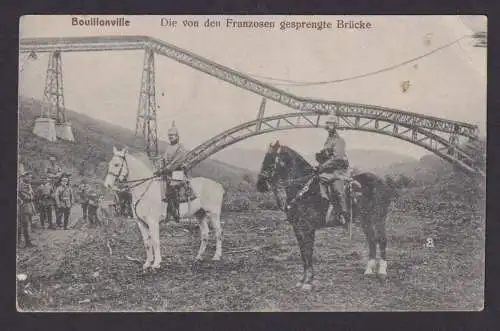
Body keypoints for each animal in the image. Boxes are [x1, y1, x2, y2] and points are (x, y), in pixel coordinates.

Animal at [258, 141, 394, 292]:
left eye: (271, 158)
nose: (260, 184)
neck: (305, 191)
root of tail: (382, 182)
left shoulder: (308, 228)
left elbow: (308, 253)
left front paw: (308, 282)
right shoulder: (298, 229)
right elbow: (303, 254)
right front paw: (302, 280)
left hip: (379, 218)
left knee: (381, 240)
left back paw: (382, 271)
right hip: (366, 220)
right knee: (371, 240)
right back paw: (369, 270)